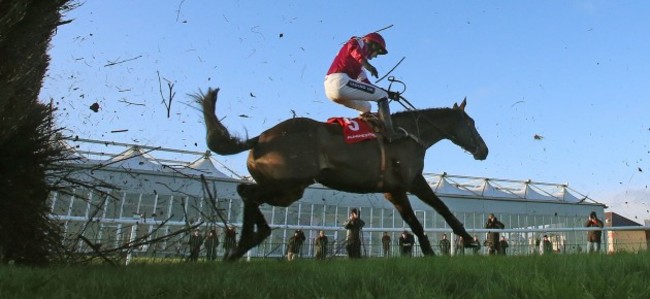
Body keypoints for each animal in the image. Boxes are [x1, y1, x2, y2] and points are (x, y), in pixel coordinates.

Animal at [197, 88, 486, 262]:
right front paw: (469, 240)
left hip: (288, 190)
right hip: (289, 183)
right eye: (471, 123)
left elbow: (414, 222)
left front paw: (430, 251)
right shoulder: (411, 181)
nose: (484, 150)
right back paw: (250, 239)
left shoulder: (394, 190)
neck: (409, 133)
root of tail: (260, 139)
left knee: (248, 194)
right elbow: (441, 209)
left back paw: (244, 244)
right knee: (248, 194)